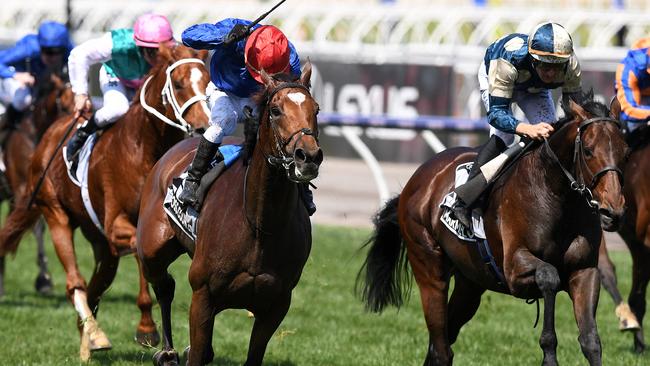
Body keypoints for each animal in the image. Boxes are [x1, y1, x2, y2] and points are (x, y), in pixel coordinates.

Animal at [136, 64, 322, 364]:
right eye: (275, 111)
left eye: (315, 109)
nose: (309, 156)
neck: (258, 223)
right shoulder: (203, 296)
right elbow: (197, 353)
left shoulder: (276, 305)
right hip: (151, 250)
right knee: (164, 286)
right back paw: (166, 351)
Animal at [356, 95, 624, 366]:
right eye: (588, 150)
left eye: (623, 149)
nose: (612, 211)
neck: (555, 195)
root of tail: (417, 180)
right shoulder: (514, 269)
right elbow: (549, 275)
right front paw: (549, 354)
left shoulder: (584, 270)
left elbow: (591, 341)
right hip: (429, 269)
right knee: (441, 348)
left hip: (470, 284)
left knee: (441, 342)